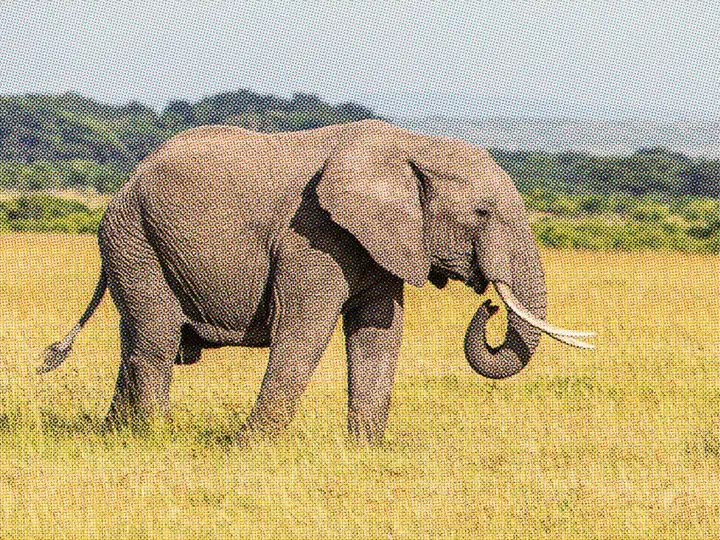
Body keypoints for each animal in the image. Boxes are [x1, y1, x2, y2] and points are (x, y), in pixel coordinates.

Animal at [38, 119, 594, 443]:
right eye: (481, 213)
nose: (491, 305)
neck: (412, 147)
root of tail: (127, 181)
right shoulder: (312, 233)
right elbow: (304, 329)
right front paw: (251, 447)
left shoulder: (380, 242)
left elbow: (378, 335)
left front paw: (365, 451)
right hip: (135, 237)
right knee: (155, 339)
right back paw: (151, 438)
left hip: (135, 242)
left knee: (137, 338)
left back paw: (113, 436)